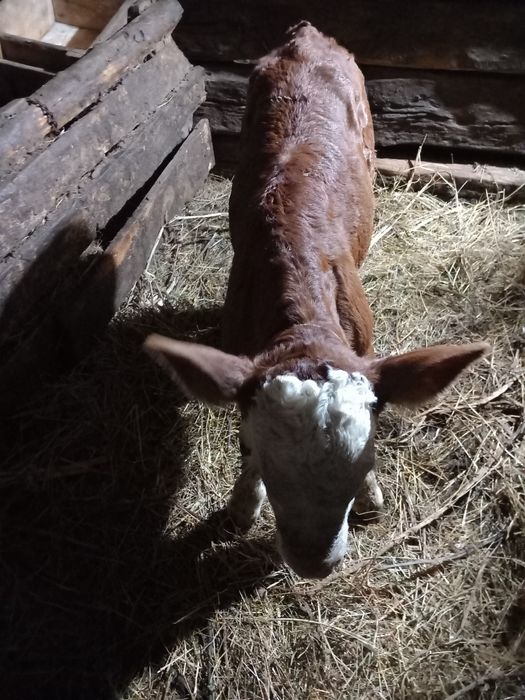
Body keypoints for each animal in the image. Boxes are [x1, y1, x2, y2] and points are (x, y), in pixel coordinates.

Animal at [144, 22, 489, 579]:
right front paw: (242, 507)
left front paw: (371, 499)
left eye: (366, 461)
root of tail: (307, 35)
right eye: (265, 463)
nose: (313, 563)